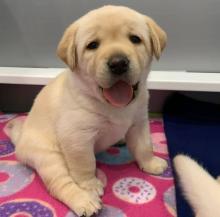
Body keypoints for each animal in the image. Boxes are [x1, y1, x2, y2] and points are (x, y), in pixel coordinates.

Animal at [7, 5, 168, 217]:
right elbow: (85, 164)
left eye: (135, 39)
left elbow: (144, 146)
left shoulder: (139, 122)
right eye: (93, 45)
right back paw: (84, 201)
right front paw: (89, 185)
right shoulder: (77, 137)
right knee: (60, 184)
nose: (118, 63)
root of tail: (20, 138)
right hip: (48, 156)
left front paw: (151, 163)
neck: (113, 106)